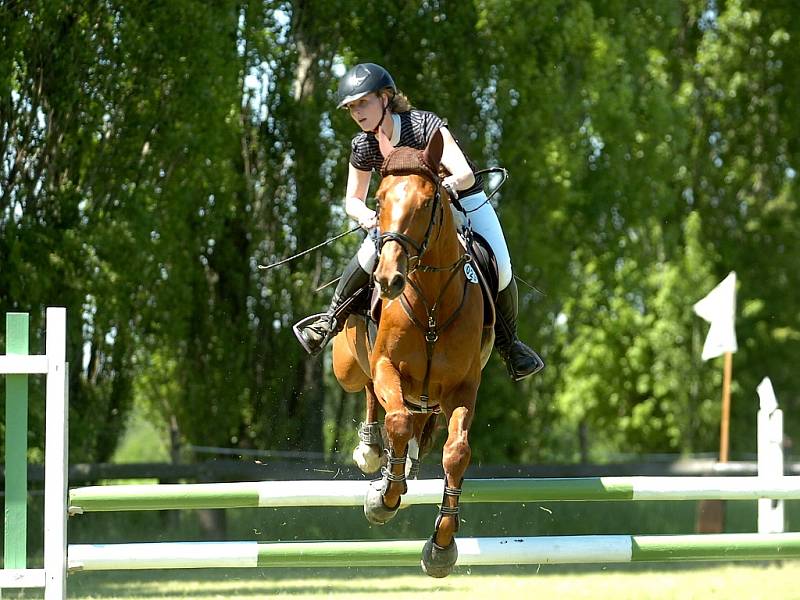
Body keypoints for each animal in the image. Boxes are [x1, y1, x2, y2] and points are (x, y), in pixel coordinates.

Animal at [328, 131, 490, 576]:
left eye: (428, 201)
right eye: (380, 199)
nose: (387, 279)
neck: (431, 304)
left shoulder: (463, 388)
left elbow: (457, 452)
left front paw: (442, 544)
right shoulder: (388, 367)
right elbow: (396, 420)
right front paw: (384, 496)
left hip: (428, 397)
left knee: (417, 420)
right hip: (347, 367)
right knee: (369, 391)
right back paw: (370, 451)